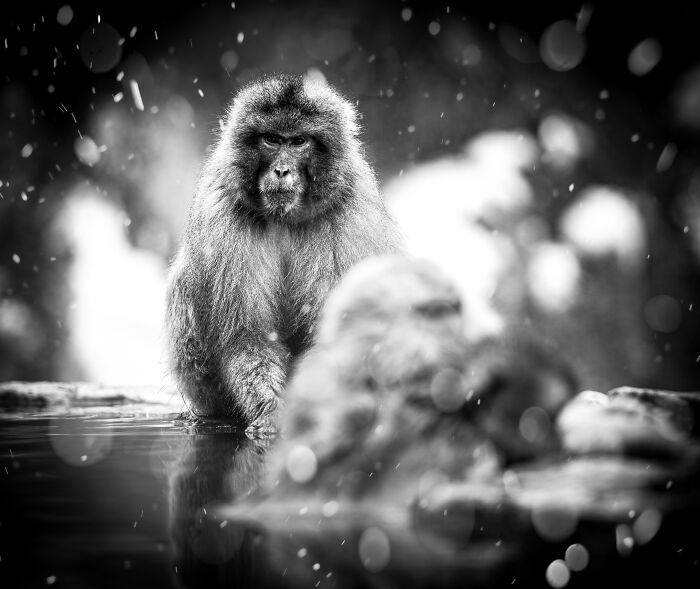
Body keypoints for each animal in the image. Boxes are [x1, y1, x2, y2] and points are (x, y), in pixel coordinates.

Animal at [165, 73, 401, 430]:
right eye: (272, 140)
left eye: (299, 141)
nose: (281, 170)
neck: (286, 217)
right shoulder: (222, 215)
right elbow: (247, 335)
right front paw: (271, 411)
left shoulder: (352, 217)